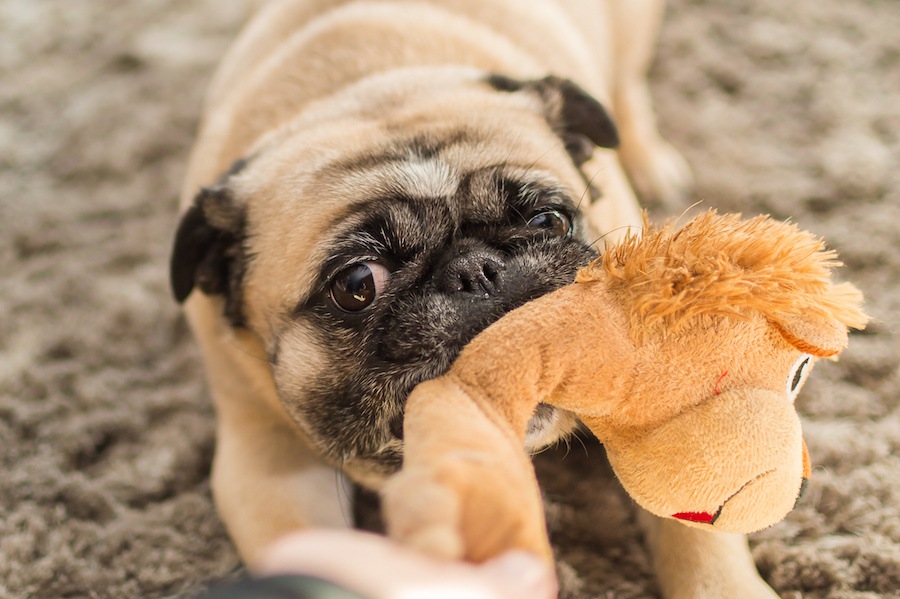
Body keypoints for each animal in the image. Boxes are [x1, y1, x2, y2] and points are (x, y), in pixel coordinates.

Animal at [172, 1, 776, 599]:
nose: (476, 271)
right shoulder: (270, 464)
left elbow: (696, 522)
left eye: (549, 221)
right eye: (356, 284)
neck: (361, 86)